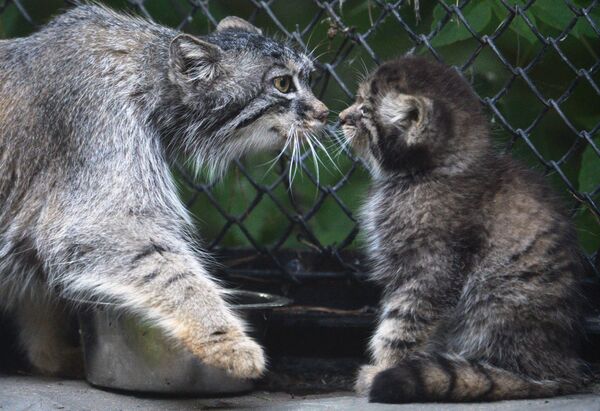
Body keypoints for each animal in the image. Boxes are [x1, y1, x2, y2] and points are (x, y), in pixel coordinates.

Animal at [0, 4, 328, 378]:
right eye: (283, 83)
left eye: (309, 78)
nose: (325, 113)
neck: (148, 79)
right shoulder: (101, 211)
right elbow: (175, 274)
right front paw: (226, 339)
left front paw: (50, 355)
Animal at [340, 56, 588, 404]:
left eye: (364, 109)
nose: (339, 117)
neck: (433, 172)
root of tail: (562, 367)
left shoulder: (432, 269)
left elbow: (402, 325)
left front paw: (385, 367)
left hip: (496, 302)